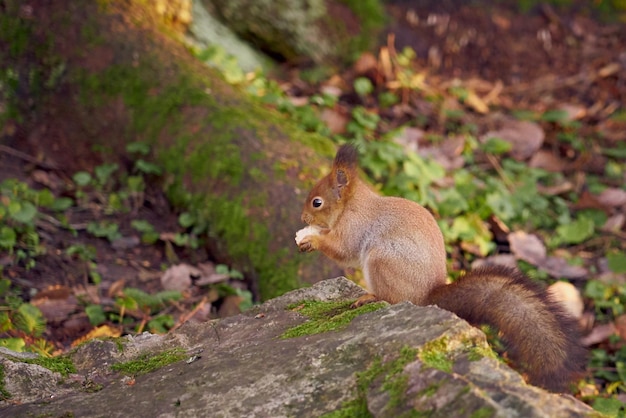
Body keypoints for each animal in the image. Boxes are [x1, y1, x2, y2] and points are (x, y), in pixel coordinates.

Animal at [294, 144, 584, 392]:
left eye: (317, 202)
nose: (303, 218)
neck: (351, 205)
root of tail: (428, 296)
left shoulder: (354, 228)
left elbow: (343, 251)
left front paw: (311, 239)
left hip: (382, 261)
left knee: (394, 299)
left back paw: (370, 297)